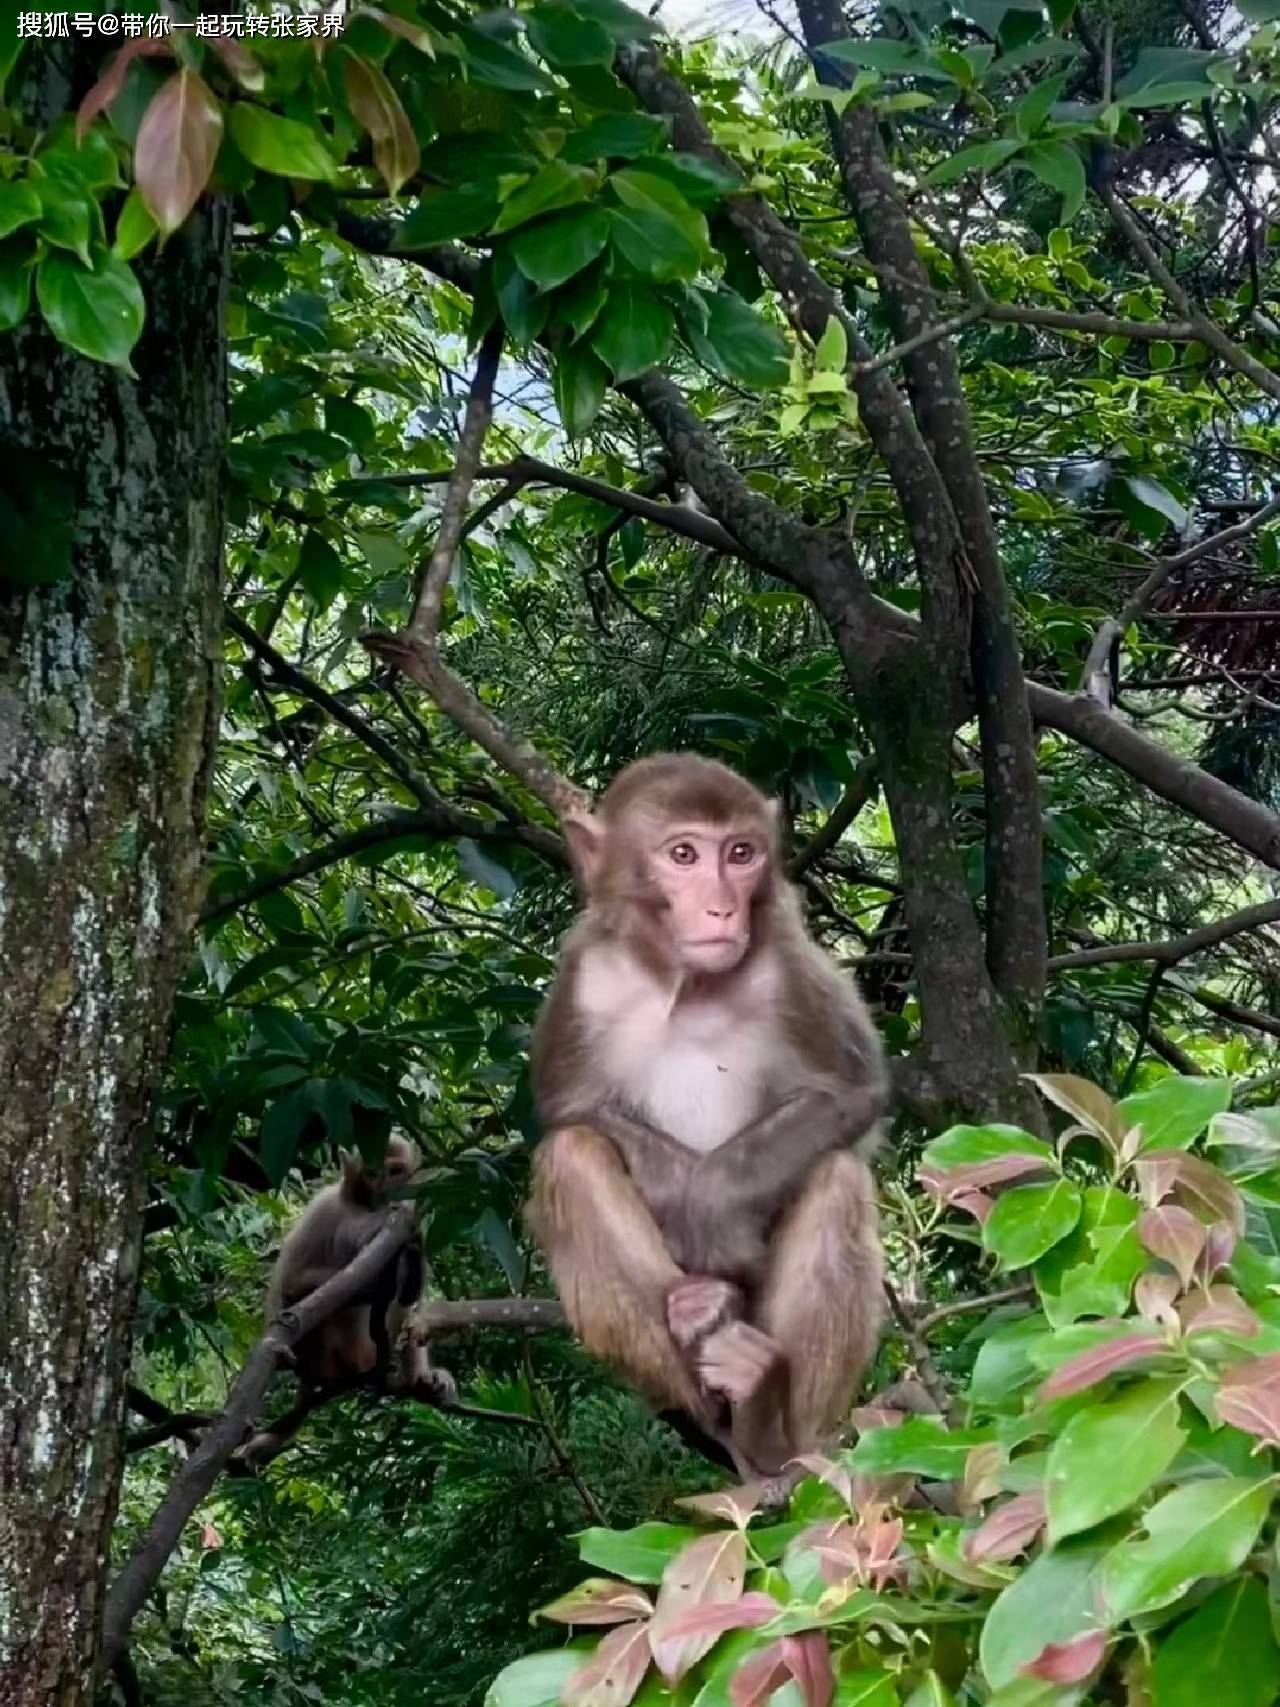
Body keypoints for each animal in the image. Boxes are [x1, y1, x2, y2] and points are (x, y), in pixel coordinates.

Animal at [525, 754, 887, 1474]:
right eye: (684, 855)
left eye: (741, 854)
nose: (723, 906)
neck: (685, 984)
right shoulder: (585, 973)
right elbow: (572, 1111)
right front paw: (691, 1225)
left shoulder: (789, 961)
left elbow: (849, 1092)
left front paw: (712, 1216)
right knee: (570, 1158)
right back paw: (702, 1336)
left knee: (837, 1176)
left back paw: (770, 1422)